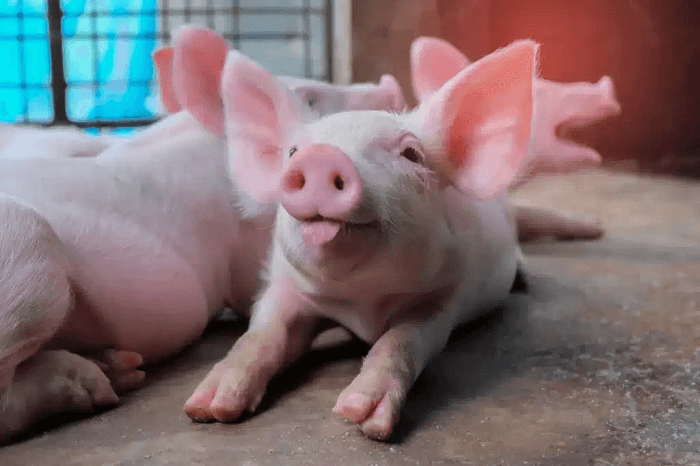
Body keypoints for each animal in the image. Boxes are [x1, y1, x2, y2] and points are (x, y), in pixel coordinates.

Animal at [0, 24, 414, 445]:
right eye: (312, 96)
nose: (388, 84)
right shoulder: (248, 250)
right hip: (27, 254)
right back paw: (92, 384)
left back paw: (122, 369)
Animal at [182, 39, 540, 440]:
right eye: (293, 153)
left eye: (411, 154)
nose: (321, 158)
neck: (361, 302)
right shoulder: (285, 286)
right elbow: (261, 333)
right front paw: (208, 408)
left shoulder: (445, 296)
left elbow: (400, 342)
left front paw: (360, 415)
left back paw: (525, 281)